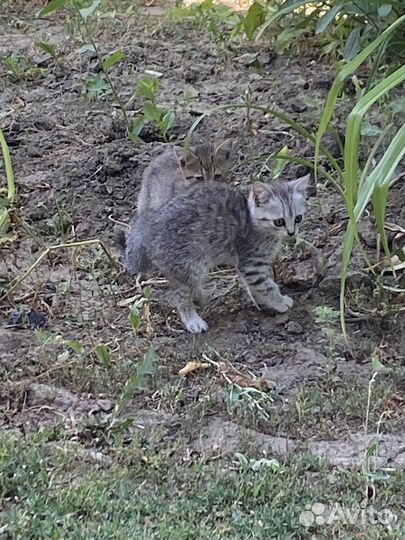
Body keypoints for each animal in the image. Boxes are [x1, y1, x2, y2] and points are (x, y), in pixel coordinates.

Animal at [120, 175, 310, 332]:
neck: (251, 221)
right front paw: (279, 301)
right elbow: (266, 285)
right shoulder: (251, 263)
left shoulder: (250, 265)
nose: (292, 233)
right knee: (181, 296)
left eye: (298, 218)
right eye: (279, 222)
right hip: (188, 264)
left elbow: (255, 286)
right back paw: (192, 320)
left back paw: (201, 298)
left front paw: (261, 302)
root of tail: (150, 226)